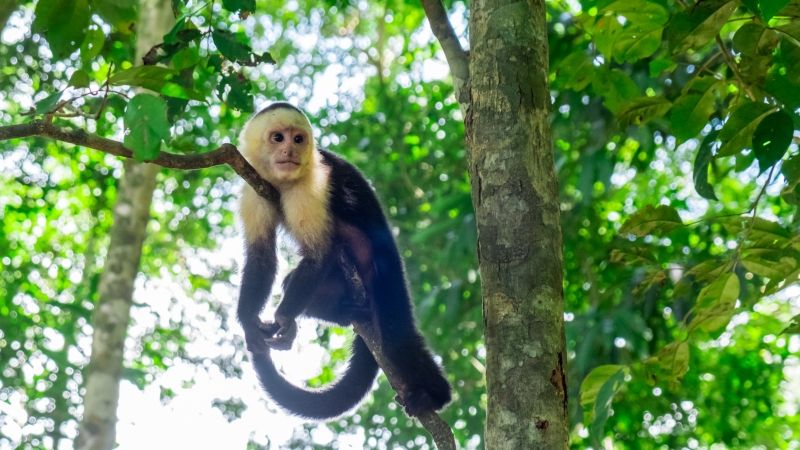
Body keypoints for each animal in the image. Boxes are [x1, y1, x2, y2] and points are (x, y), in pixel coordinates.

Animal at [236, 102, 450, 418]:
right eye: (278, 138)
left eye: (298, 139)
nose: (290, 151)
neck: (282, 182)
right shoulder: (252, 189)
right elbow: (261, 256)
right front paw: (249, 323)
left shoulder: (312, 185)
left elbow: (318, 253)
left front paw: (284, 319)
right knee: (293, 284)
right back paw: (346, 312)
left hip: (386, 274)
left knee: (396, 340)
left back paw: (435, 396)